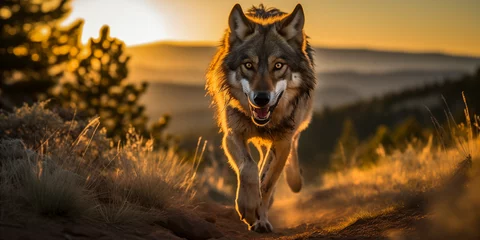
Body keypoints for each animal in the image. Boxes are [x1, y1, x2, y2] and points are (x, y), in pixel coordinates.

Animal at [205, 3, 316, 232]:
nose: (261, 99)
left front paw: (260, 218)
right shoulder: (232, 135)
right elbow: (249, 169)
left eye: (278, 65)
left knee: (292, 148)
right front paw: (247, 206)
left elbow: (266, 183)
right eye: (248, 65)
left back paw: (294, 180)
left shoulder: (282, 142)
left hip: (293, 129)